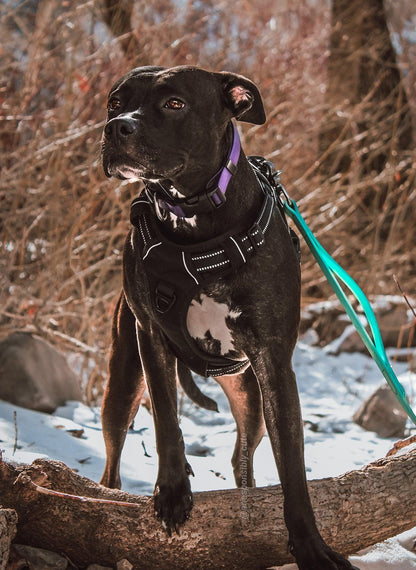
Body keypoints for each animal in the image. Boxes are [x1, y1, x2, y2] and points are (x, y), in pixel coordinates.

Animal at [99, 64, 356, 564]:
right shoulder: (150, 338)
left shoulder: (274, 364)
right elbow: (166, 420)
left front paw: (311, 547)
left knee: (243, 457)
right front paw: (172, 491)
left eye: (174, 103)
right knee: (113, 458)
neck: (197, 224)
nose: (116, 127)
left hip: (248, 394)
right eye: (115, 103)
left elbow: (292, 464)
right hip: (123, 377)